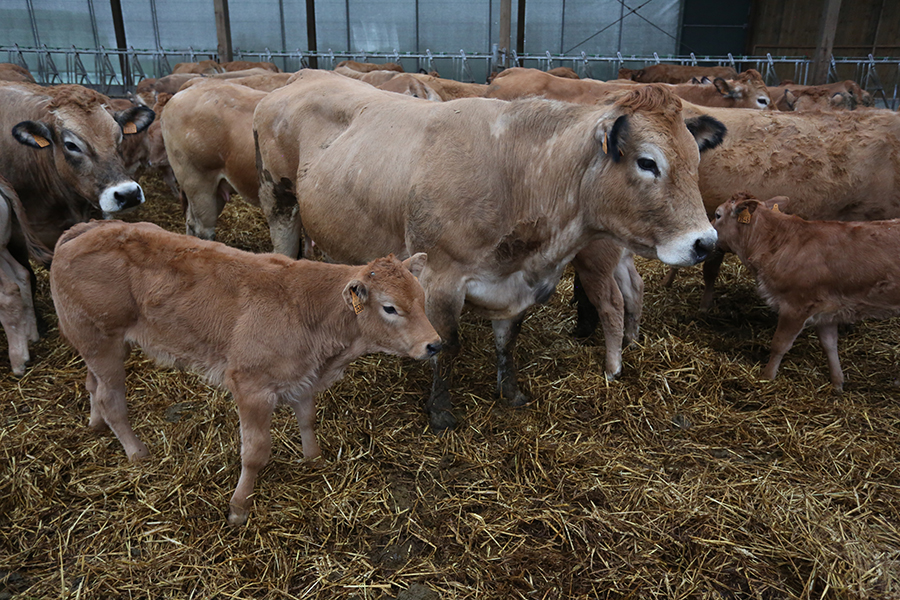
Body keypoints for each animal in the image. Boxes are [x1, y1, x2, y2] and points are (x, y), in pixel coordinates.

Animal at [51, 219, 442, 524]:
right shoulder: (251, 387)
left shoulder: (303, 378)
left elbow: (307, 419)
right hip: (101, 341)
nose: (434, 344)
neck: (310, 313)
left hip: (100, 345)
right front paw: (239, 507)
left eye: (423, 299)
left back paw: (95, 424)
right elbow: (255, 451)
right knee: (110, 398)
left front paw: (313, 460)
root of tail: (85, 229)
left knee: (91, 384)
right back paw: (136, 453)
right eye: (390, 307)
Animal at [251, 69, 724, 426]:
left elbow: (508, 341)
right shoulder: (440, 277)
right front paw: (441, 413)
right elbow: (447, 345)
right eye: (647, 162)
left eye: (696, 160)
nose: (704, 242)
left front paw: (510, 392)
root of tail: (304, 76)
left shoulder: (517, 286)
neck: (518, 176)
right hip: (279, 198)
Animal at [712, 195, 900, 394]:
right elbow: (829, 344)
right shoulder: (827, 310)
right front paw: (837, 384)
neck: (777, 242)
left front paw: (767, 378)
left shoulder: (796, 306)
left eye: (717, 214)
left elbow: (779, 344)